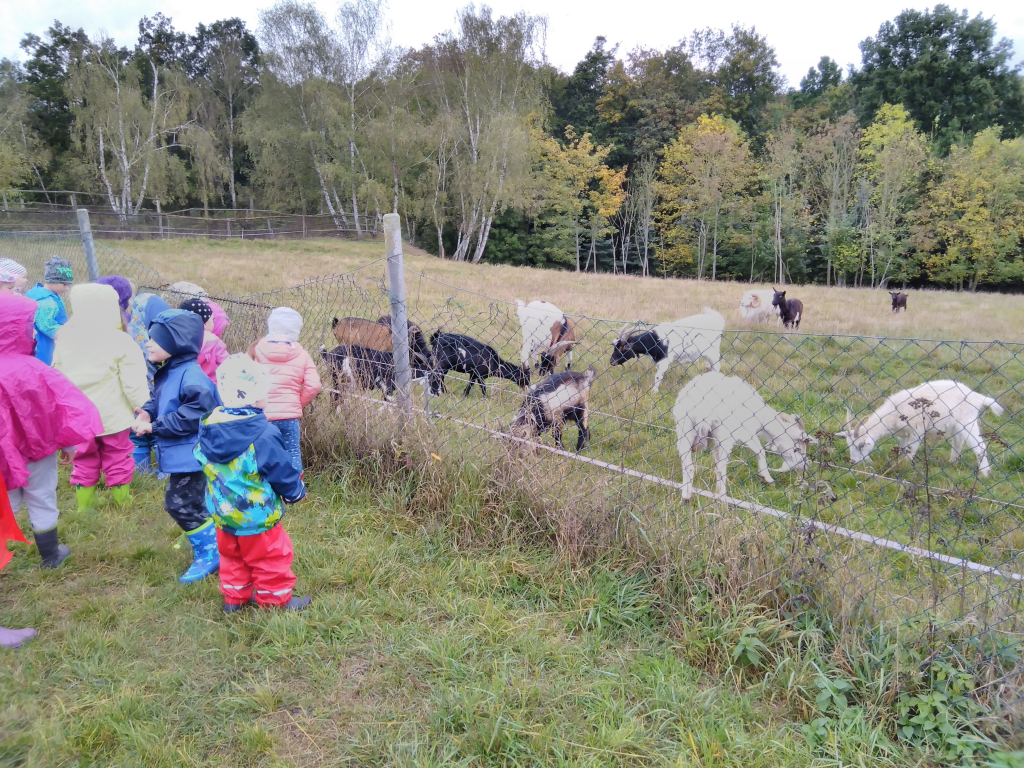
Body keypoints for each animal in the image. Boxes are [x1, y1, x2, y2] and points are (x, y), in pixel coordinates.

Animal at [674, 371, 816, 500]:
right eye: (798, 449)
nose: (804, 467)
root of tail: (701, 408)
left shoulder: (713, 441)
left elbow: (715, 458)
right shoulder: (746, 432)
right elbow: (760, 451)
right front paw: (766, 477)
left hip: (684, 429)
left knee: (688, 466)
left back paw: (686, 496)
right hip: (723, 434)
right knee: (720, 467)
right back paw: (722, 496)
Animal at [836, 380, 1004, 477]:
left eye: (861, 445)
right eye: (849, 445)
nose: (854, 462)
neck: (895, 412)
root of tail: (977, 397)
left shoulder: (916, 432)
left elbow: (910, 452)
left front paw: (904, 468)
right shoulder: (902, 435)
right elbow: (904, 450)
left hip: (967, 421)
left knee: (979, 446)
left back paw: (985, 474)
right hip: (955, 425)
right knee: (958, 442)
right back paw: (952, 463)